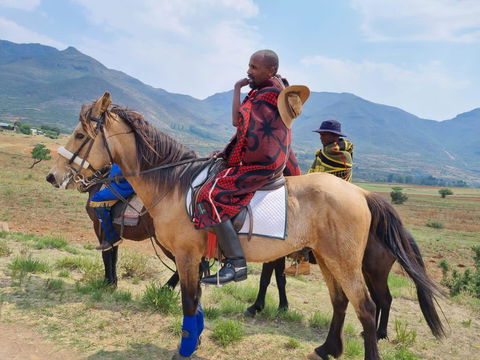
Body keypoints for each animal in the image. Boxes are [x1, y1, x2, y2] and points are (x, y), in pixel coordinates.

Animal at [45, 93, 442, 360]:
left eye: (79, 135)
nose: (53, 176)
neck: (172, 184)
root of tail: (361, 193)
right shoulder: (193, 258)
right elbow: (196, 303)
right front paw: (195, 340)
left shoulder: (186, 256)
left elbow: (188, 301)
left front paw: (185, 348)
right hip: (329, 259)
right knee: (341, 301)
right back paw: (328, 347)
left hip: (348, 262)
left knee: (368, 307)